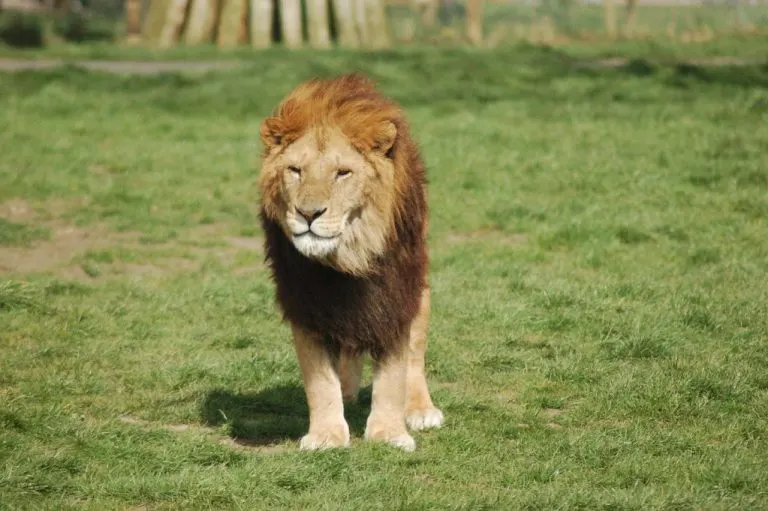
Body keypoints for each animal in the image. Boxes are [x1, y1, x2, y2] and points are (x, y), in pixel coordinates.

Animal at [260, 73, 444, 452]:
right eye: (295, 171)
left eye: (342, 173)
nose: (308, 213)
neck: (345, 258)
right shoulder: (307, 305)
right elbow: (320, 381)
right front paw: (326, 435)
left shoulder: (393, 296)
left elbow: (393, 375)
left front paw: (388, 434)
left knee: (415, 356)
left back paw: (420, 409)